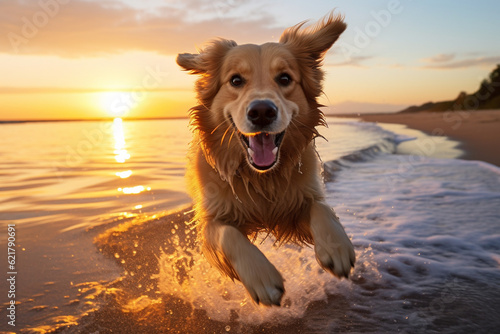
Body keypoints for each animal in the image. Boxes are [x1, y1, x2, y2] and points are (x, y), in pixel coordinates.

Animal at [178, 12, 354, 306]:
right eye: (236, 80)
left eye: (284, 78)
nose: (262, 111)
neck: (260, 178)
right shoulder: (211, 221)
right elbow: (229, 235)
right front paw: (262, 277)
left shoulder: (298, 204)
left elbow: (322, 208)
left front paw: (337, 247)